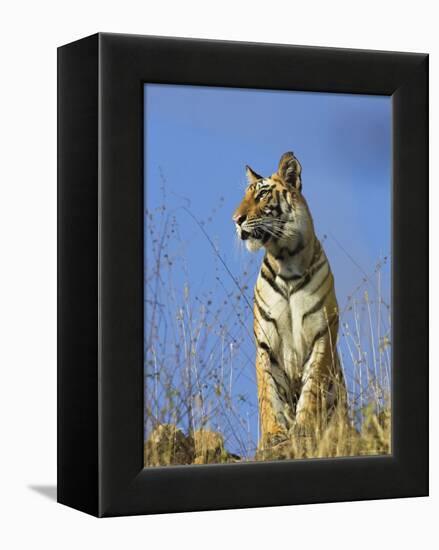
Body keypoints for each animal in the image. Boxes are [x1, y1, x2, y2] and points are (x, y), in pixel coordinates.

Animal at [234, 153, 348, 454]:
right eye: (245, 195)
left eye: (262, 194)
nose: (236, 219)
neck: (286, 259)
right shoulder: (266, 343)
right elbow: (268, 393)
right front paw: (273, 437)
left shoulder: (321, 334)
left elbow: (312, 389)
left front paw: (304, 431)